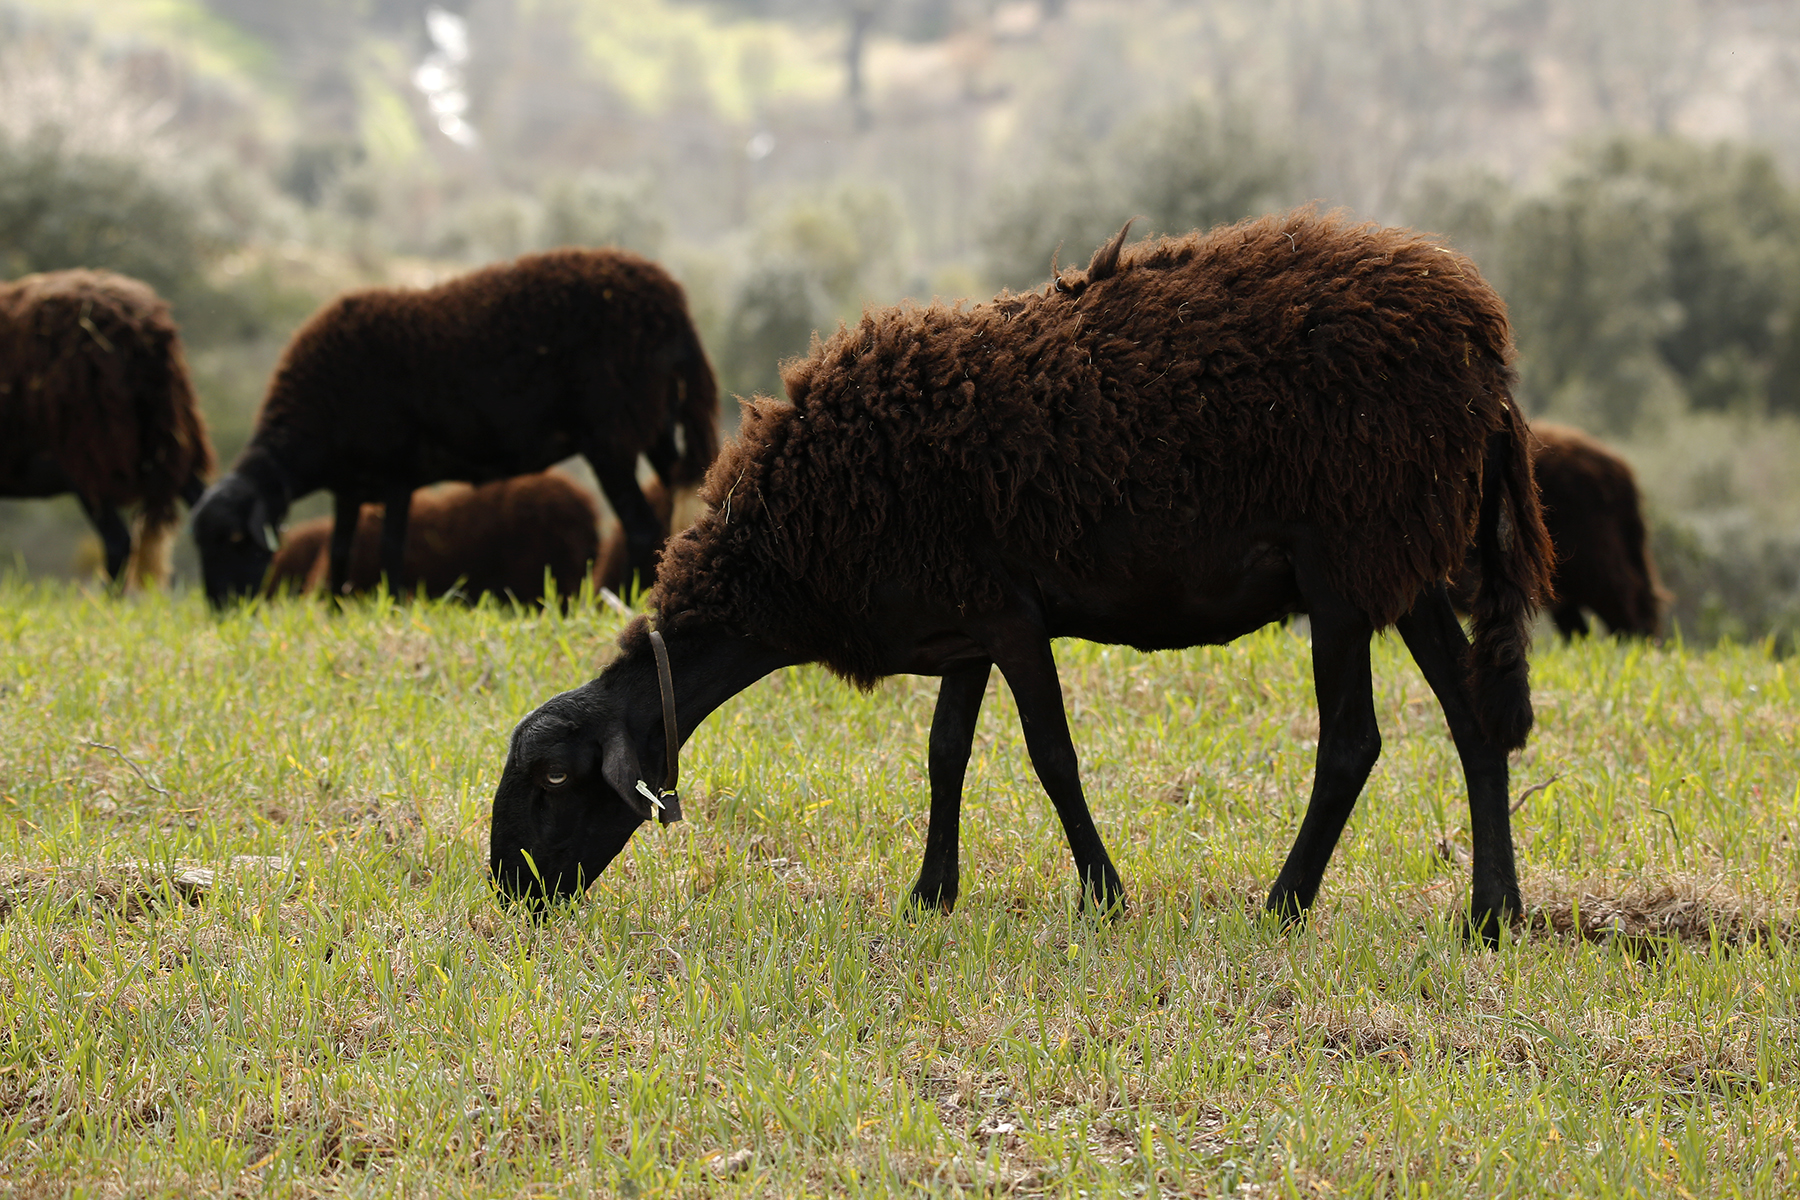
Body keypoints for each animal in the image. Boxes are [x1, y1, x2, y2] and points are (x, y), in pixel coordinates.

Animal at [190, 248, 717, 607]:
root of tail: (673, 304)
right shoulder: (351, 487)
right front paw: (336, 612)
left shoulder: (396, 473)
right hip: (655, 426)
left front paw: (391, 609)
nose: (223, 612)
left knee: (641, 528)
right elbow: (340, 553)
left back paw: (620, 605)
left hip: (611, 434)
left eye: (234, 541)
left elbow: (391, 550)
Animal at [489, 210, 1555, 944]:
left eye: (552, 780)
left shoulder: (1009, 615)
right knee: (1472, 717)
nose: (506, 892)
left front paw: (1105, 895)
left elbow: (1051, 756)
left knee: (1352, 743)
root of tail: (1485, 346)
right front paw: (930, 896)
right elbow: (945, 753)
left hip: (1341, 565)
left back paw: (1285, 904)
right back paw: (1491, 915)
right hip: (1401, 563)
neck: (785, 556)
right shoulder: (960, 619)